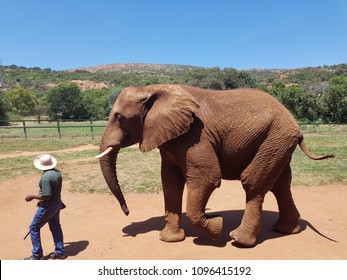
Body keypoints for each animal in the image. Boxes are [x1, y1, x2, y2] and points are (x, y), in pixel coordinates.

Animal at [95, 83, 334, 247]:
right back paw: (286, 230)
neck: (152, 89)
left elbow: (207, 178)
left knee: (253, 182)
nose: (127, 211)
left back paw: (239, 240)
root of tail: (295, 125)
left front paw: (216, 229)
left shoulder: (195, 136)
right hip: (278, 143)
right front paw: (170, 240)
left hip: (275, 139)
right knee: (281, 184)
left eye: (119, 117)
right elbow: (170, 182)